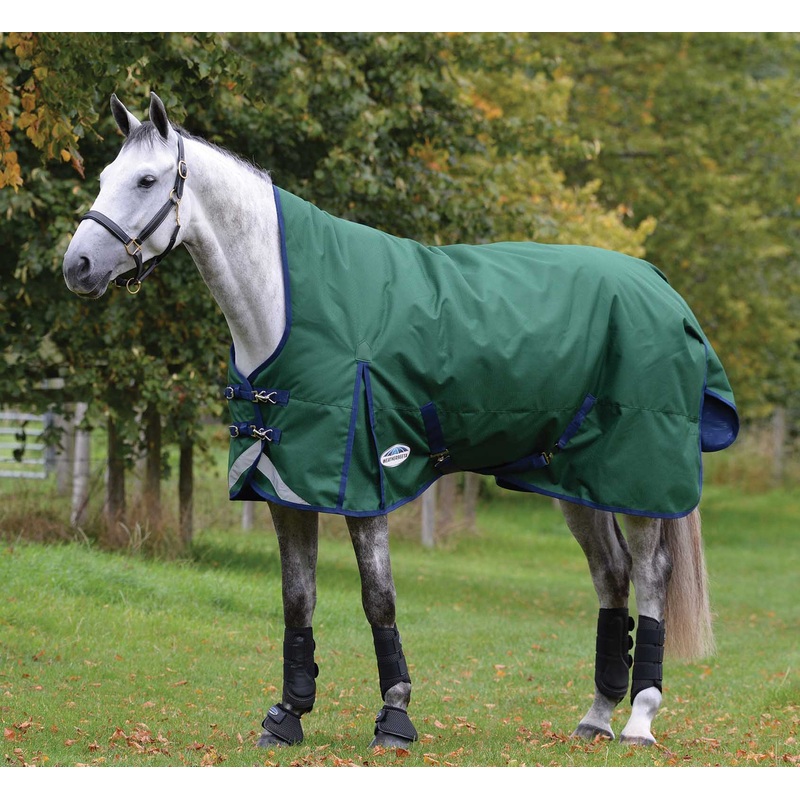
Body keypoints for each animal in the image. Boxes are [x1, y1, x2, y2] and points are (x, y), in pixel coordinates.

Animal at [62, 93, 739, 749]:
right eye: (103, 177)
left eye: (147, 179)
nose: (77, 267)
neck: (286, 306)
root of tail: (660, 287)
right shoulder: (286, 486)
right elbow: (297, 600)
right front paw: (288, 716)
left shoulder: (368, 481)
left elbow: (378, 600)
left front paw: (394, 717)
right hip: (577, 481)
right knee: (611, 575)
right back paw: (595, 717)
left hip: (639, 479)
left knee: (649, 575)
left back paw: (639, 722)